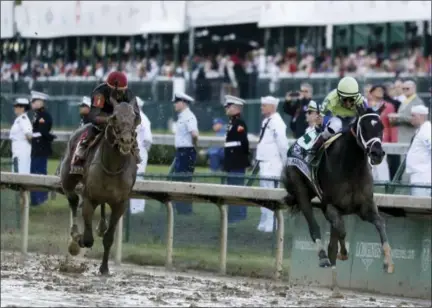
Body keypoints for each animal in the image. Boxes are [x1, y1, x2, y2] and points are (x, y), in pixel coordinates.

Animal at [60, 101, 138, 274]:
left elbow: (109, 238)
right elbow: (88, 239)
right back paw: (74, 236)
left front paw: (104, 268)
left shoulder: (120, 204)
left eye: (134, 116)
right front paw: (78, 240)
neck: (112, 167)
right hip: (68, 176)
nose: (126, 141)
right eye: (114, 117)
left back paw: (100, 228)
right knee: (73, 199)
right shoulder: (90, 198)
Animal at [282, 109, 394, 292]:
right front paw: (343, 252)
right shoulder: (329, 206)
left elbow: (380, 224)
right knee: (314, 227)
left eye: (381, 127)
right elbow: (341, 231)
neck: (351, 168)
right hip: (300, 188)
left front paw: (388, 262)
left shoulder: (365, 207)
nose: (377, 154)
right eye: (363, 127)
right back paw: (323, 257)